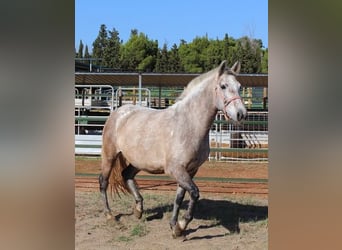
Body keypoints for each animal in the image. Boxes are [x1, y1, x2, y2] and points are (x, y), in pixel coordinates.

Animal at [99, 60, 246, 238]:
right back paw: (110, 216)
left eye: (239, 86)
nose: (241, 114)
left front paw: (175, 227)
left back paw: (138, 210)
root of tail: (118, 112)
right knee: (103, 181)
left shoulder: (190, 170)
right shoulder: (176, 169)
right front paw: (182, 225)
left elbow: (180, 197)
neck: (189, 124)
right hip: (109, 155)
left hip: (138, 161)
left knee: (126, 175)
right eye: (223, 86)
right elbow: (195, 193)